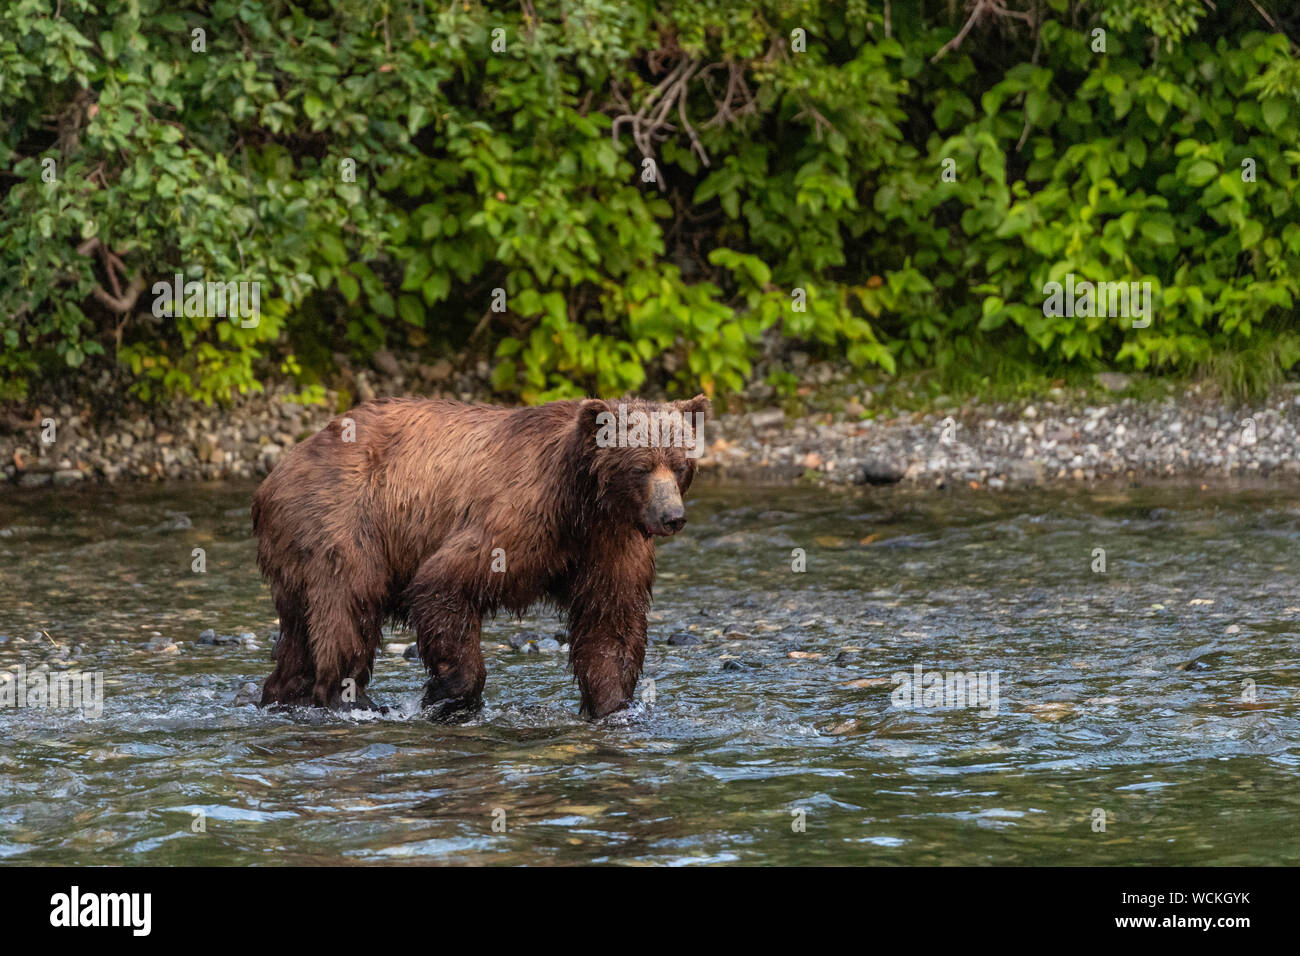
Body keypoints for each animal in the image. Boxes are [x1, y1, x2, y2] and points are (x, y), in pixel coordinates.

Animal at [248, 395, 707, 717]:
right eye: (641, 467)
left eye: (680, 464)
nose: (672, 517)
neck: (580, 505)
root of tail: (274, 475)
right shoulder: (517, 518)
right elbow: (444, 583)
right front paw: (448, 692)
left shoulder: (610, 544)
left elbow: (609, 624)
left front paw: (613, 704)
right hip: (340, 517)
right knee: (347, 604)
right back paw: (350, 699)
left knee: (299, 635)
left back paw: (281, 695)